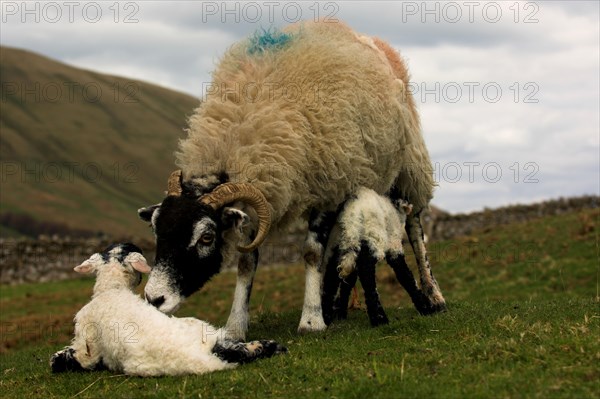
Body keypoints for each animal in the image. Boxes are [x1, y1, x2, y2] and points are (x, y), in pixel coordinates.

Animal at [318, 189, 436, 326]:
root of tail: (351, 214)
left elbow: (349, 280)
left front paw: (340, 312)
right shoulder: (394, 243)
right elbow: (404, 274)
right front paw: (425, 307)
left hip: (338, 240)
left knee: (332, 275)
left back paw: (326, 316)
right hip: (371, 234)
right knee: (366, 271)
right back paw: (379, 318)